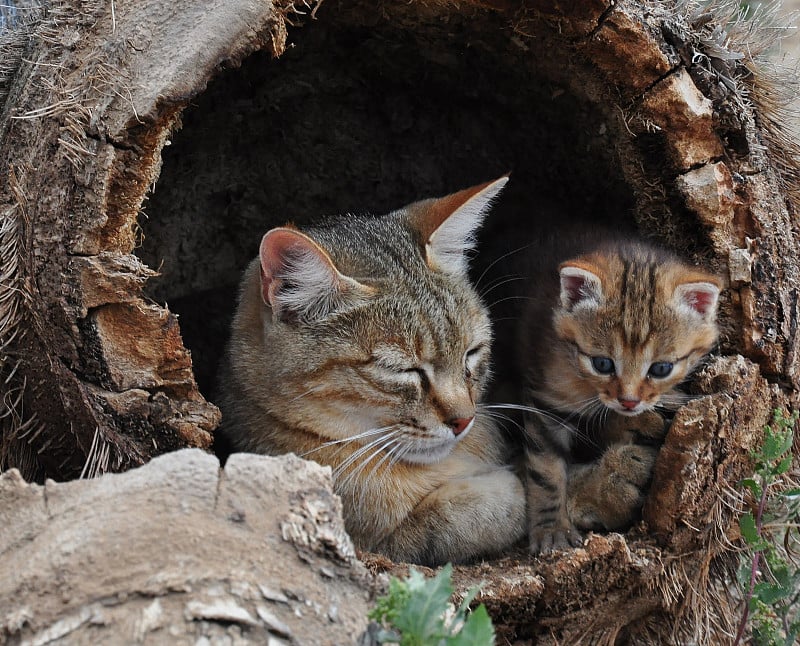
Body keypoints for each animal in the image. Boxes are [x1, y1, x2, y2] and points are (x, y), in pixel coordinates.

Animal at [516, 240, 720, 556]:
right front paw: (551, 529)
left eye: (661, 369)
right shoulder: (546, 402)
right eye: (602, 364)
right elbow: (545, 470)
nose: (629, 401)